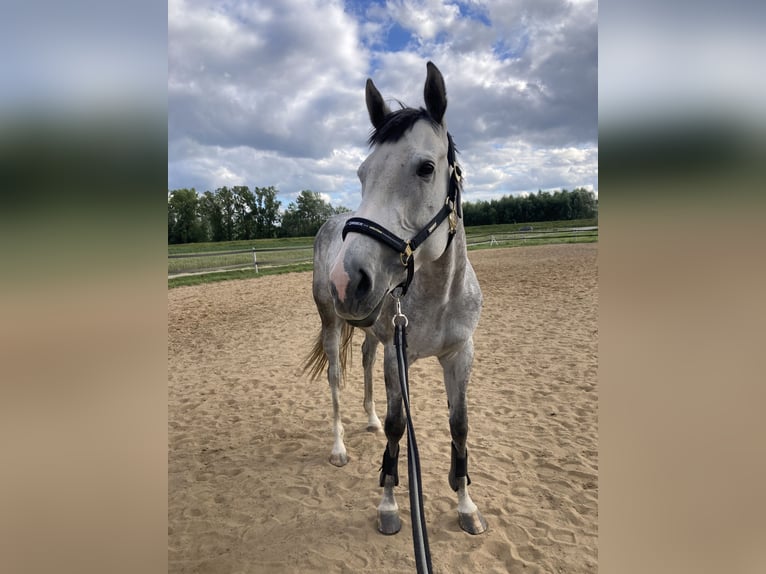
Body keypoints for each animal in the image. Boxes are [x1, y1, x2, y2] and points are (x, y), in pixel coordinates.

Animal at [304, 60, 486, 536]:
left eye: (425, 167)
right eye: (362, 173)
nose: (346, 279)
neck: (440, 295)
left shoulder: (459, 354)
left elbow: (460, 425)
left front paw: (466, 504)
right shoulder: (396, 355)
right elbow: (396, 426)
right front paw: (388, 504)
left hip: (371, 330)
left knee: (365, 360)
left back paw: (364, 420)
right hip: (332, 323)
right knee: (336, 378)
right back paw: (339, 448)